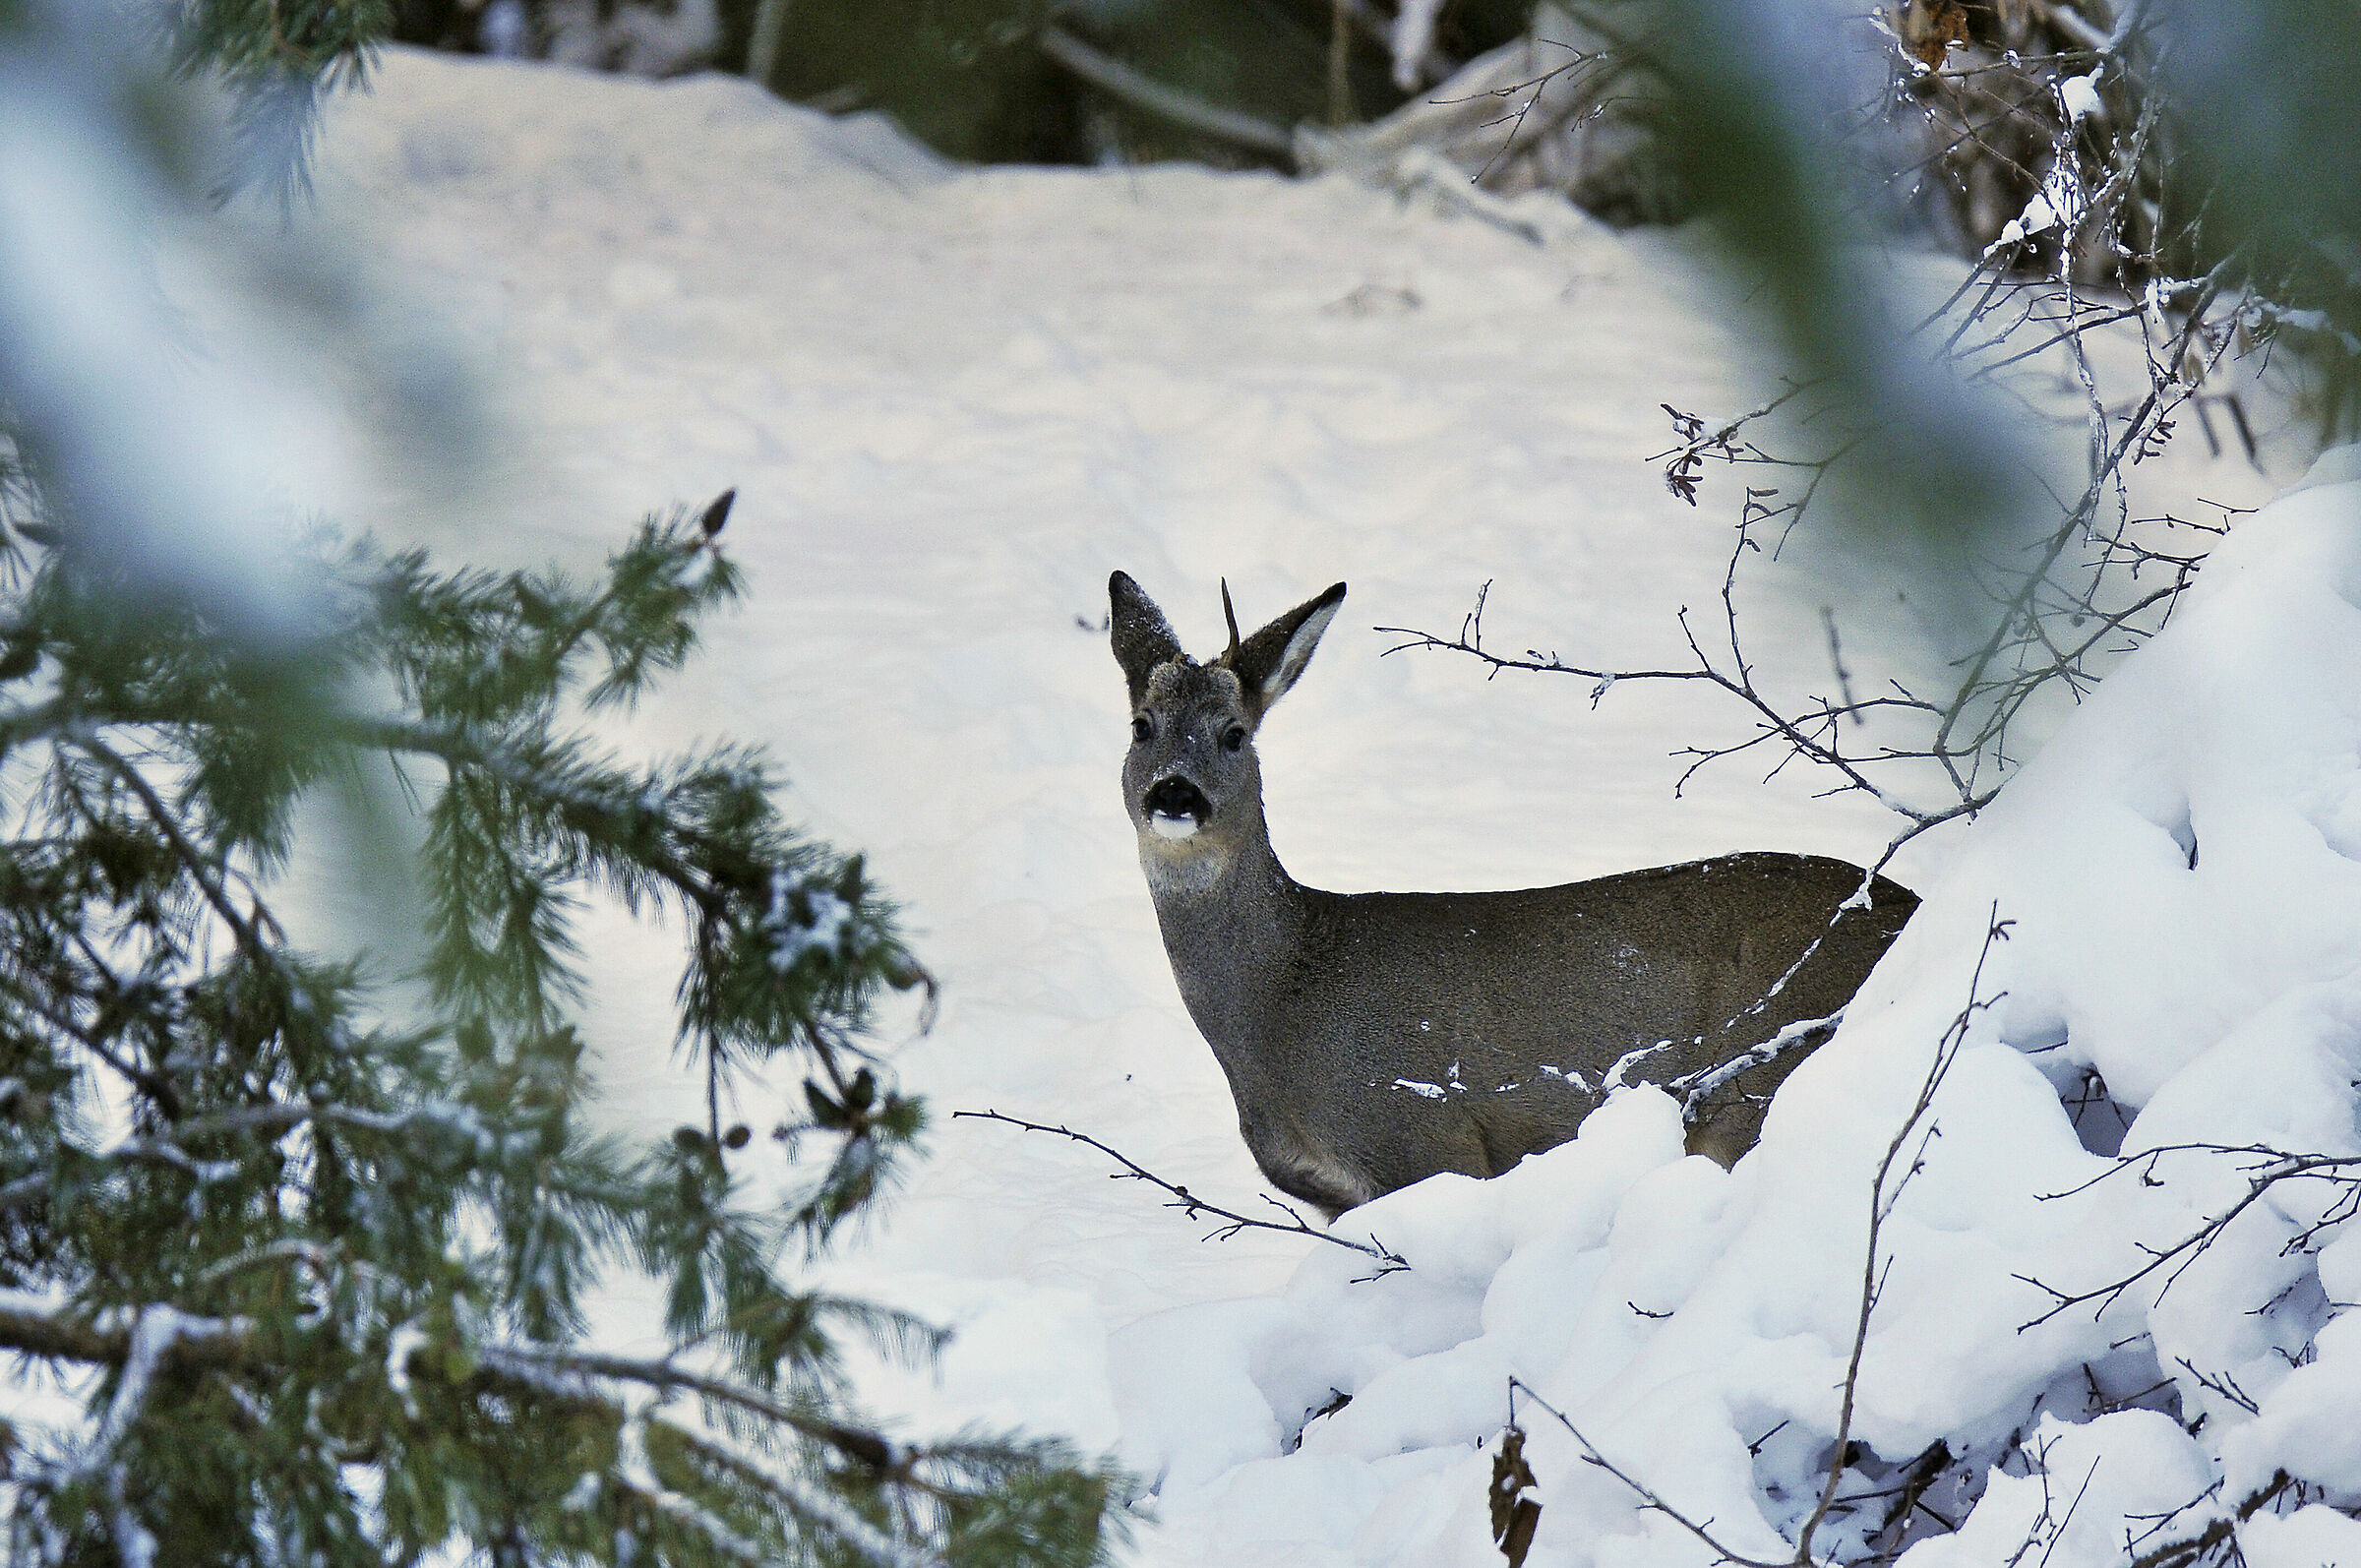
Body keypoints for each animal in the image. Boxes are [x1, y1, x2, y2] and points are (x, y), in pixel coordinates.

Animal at [1108, 571, 1917, 1217]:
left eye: (1234, 733)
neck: (1283, 1004)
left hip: (1768, 1085)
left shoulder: (1427, 1137)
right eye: (1141, 726)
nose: (1175, 793)